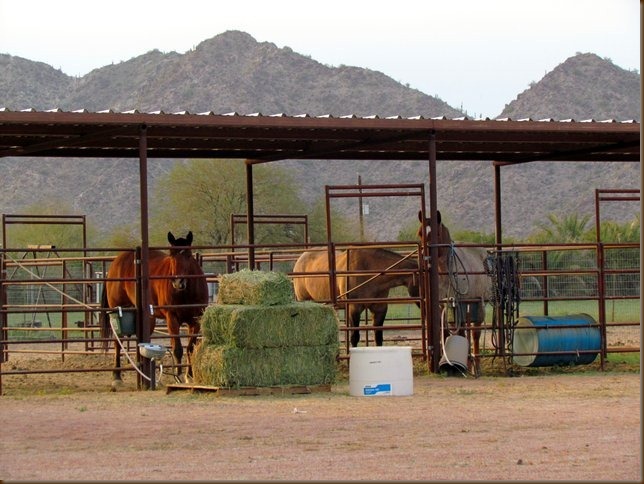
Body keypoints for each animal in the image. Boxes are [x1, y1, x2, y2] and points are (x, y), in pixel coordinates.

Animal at [101, 231, 209, 387]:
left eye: (188, 255)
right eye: (171, 255)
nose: (178, 282)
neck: (186, 292)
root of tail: (117, 261)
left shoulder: (195, 321)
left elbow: (190, 348)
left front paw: (190, 376)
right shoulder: (172, 318)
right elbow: (177, 349)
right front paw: (178, 376)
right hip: (118, 311)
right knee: (117, 342)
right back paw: (117, 377)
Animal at [418, 210, 492, 375]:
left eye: (436, 234)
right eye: (420, 233)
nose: (425, 258)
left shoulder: (459, 303)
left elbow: (465, 333)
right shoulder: (441, 305)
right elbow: (445, 331)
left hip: (477, 303)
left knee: (474, 333)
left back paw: (475, 368)